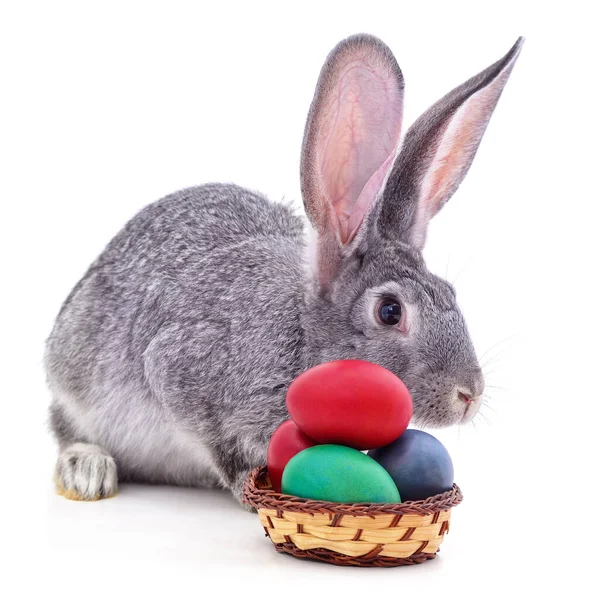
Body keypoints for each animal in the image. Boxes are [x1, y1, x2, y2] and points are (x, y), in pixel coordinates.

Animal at [45, 32, 520, 502]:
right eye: (390, 311)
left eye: (451, 293)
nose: (469, 394)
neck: (306, 335)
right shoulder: (180, 370)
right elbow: (218, 443)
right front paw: (250, 490)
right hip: (75, 381)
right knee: (66, 427)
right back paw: (86, 469)